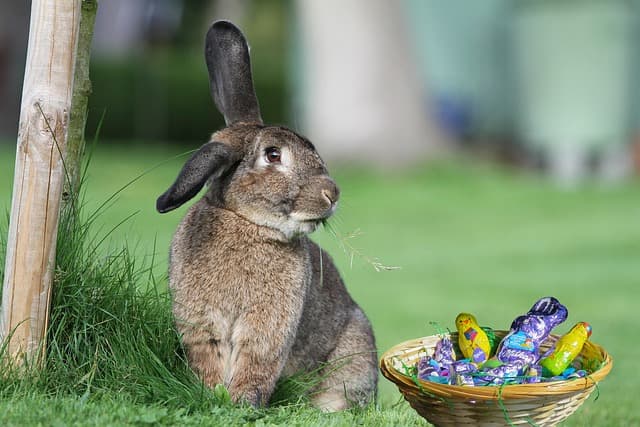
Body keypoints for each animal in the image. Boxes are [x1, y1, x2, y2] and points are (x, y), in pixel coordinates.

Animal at [156, 20, 378, 411]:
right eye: (273, 155)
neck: (246, 222)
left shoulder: (267, 328)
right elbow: (209, 359)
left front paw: (243, 403)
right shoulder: (201, 323)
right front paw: (212, 395)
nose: (331, 194)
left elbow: (256, 362)